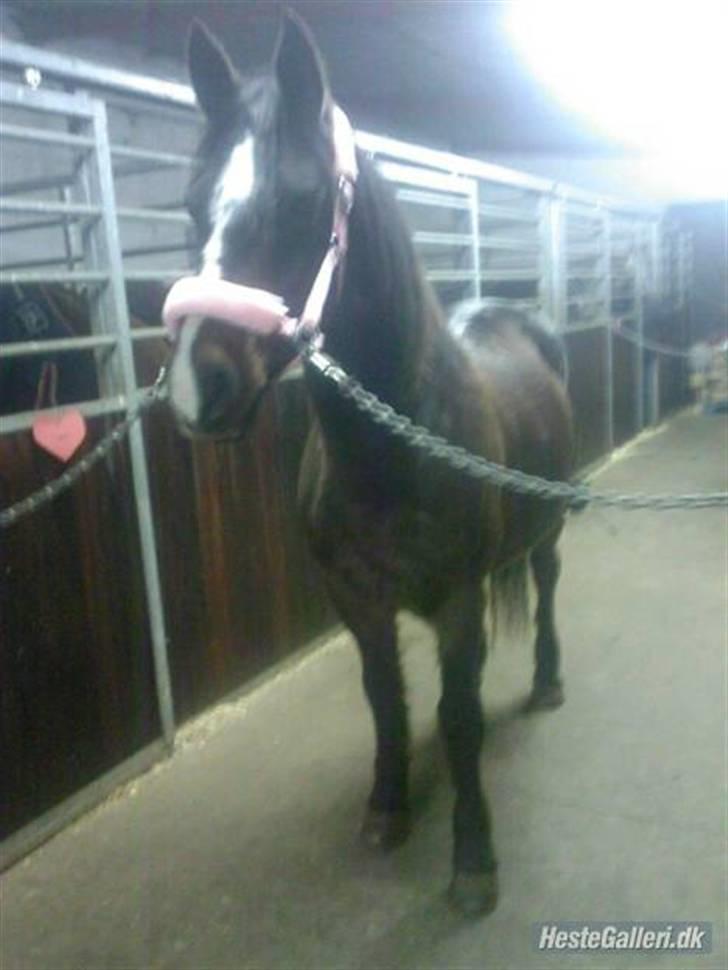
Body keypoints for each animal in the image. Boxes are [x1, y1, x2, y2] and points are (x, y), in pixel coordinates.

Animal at [165, 10, 573, 917]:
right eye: (192, 202)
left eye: (303, 199)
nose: (199, 388)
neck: (396, 447)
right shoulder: (355, 600)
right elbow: (385, 702)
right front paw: (388, 808)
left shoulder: (458, 603)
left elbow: (459, 717)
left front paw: (472, 861)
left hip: (552, 528)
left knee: (546, 588)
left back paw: (548, 685)